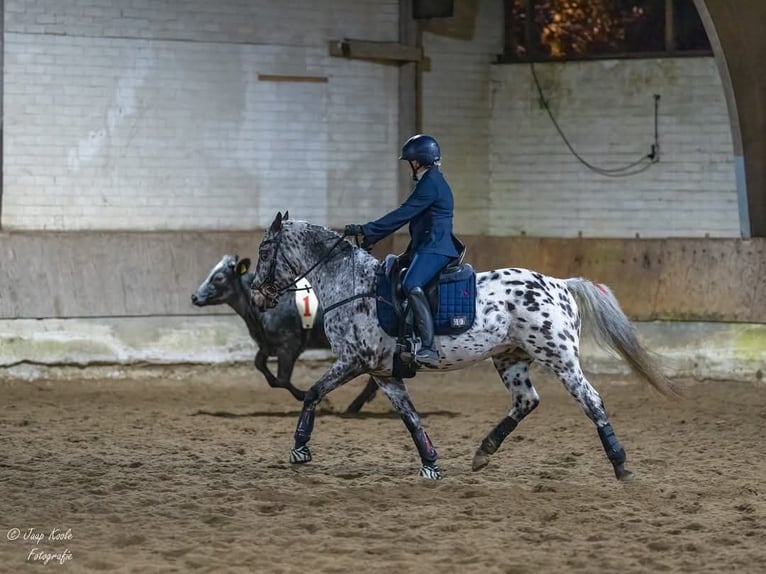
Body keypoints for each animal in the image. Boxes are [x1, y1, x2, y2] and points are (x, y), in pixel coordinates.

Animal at [191, 254, 379, 413]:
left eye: (218, 278)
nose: (194, 297)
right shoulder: (266, 344)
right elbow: (261, 366)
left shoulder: (288, 347)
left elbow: (281, 380)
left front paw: (321, 401)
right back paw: (355, 405)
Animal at [250, 211, 678, 480]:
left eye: (264, 251)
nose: (256, 293)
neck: (350, 283)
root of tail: (560, 285)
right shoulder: (384, 372)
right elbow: (410, 417)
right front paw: (430, 465)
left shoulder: (355, 360)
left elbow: (312, 392)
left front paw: (300, 449)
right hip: (510, 358)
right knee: (526, 401)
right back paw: (483, 452)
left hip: (558, 357)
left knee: (591, 401)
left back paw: (620, 465)